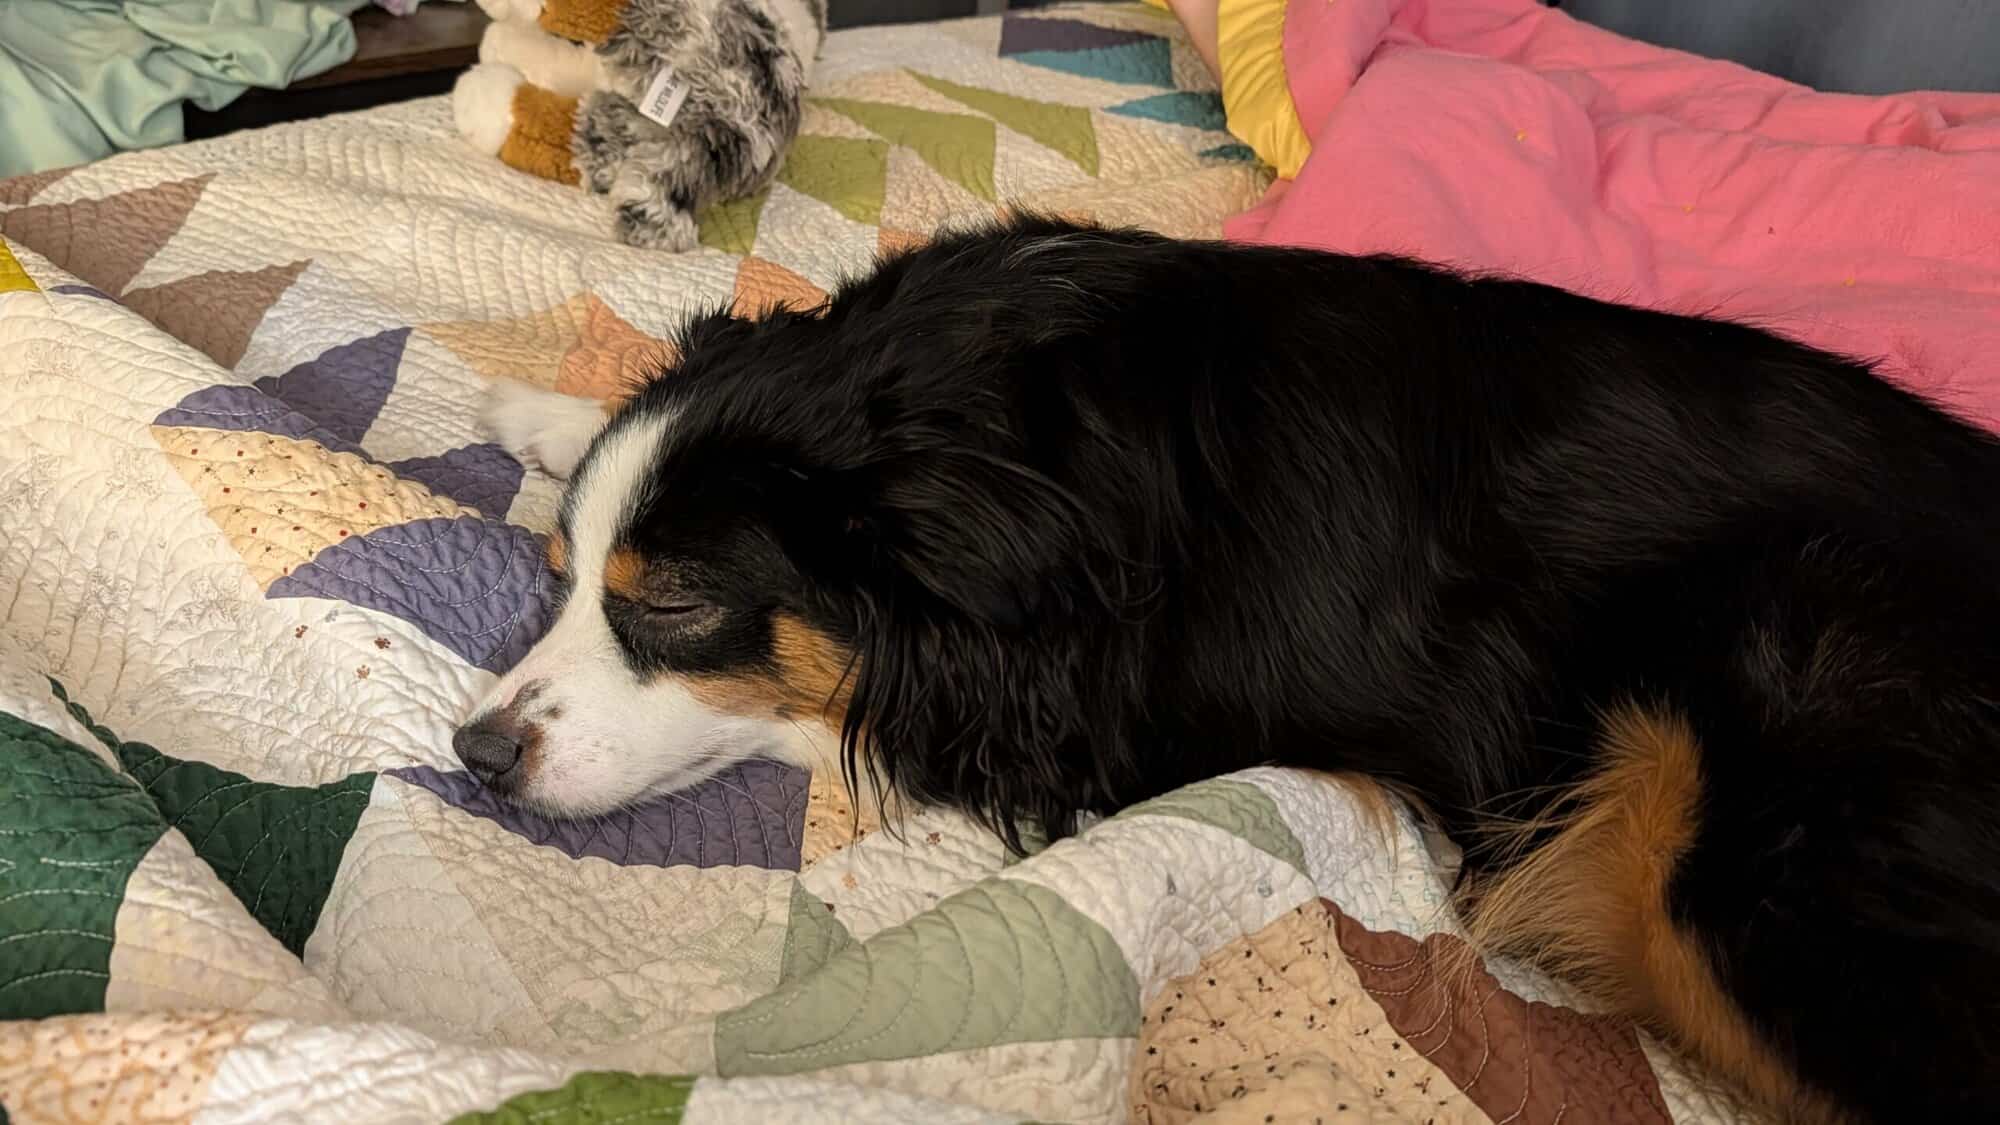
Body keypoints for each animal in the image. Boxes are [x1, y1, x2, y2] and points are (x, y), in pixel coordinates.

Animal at [459, 217, 2000, 1122]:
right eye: (562, 578)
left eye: (676, 606)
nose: (474, 756)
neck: (997, 427)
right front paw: (539, 412)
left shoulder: (1112, 717)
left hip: (1761, 847)